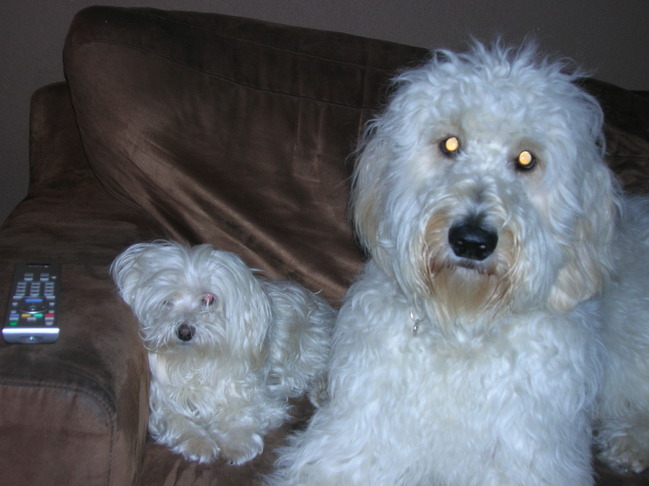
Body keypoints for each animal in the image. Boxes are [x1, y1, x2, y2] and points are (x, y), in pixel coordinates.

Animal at [111, 240, 335, 465]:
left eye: (209, 299)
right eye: (167, 301)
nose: (184, 332)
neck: (197, 360)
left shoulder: (255, 397)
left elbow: (241, 413)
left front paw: (238, 443)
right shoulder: (164, 403)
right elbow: (177, 421)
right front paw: (198, 443)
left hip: (310, 348)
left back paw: (322, 392)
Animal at [270, 42, 649, 485]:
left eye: (526, 159)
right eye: (450, 144)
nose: (471, 241)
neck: (463, 325)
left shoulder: (527, 459)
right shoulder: (356, 441)